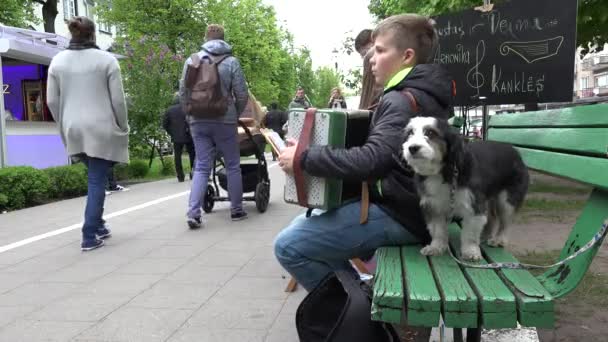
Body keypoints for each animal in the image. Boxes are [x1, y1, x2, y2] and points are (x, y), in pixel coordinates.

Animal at [404, 116, 528, 260]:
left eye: (430, 133)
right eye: (410, 133)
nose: (412, 148)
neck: (443, 172)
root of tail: (514, 150)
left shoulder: (473, 203)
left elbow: (470, 232)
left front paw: (470, 251)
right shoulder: (432, 206)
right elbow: (437, 229)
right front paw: (436, 247)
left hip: (507, 200)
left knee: (505, 222)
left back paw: (499, 239)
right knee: (491, 218)